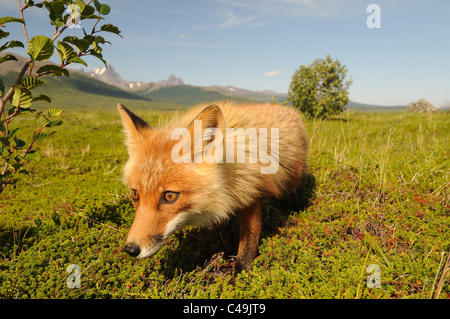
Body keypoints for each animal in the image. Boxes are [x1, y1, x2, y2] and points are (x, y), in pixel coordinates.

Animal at [118, 102, 308, 272]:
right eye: (135, 194)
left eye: (170, 196)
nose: (131, 249)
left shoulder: (250, 192)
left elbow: (248, 241)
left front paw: (239, 277)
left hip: (293, 175)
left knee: (293, 189)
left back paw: (296, 208)